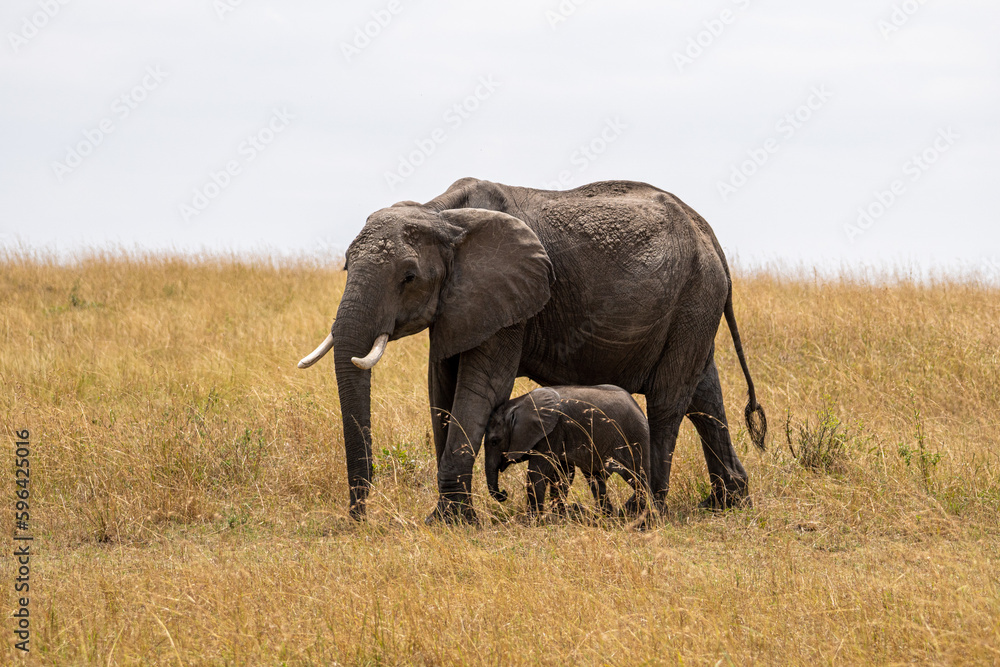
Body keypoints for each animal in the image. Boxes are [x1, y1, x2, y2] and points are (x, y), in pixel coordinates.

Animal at [484, 385, 651, 520]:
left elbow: (537, 473)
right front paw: (560, 516)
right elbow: (563, 474)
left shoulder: (552, 432)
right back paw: (607, 516)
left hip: (634, 437)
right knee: (596, 481)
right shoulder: (562, 434)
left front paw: (532, 520)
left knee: (638, 479)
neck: (519, 404)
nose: (504, 493)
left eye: (494, 441)